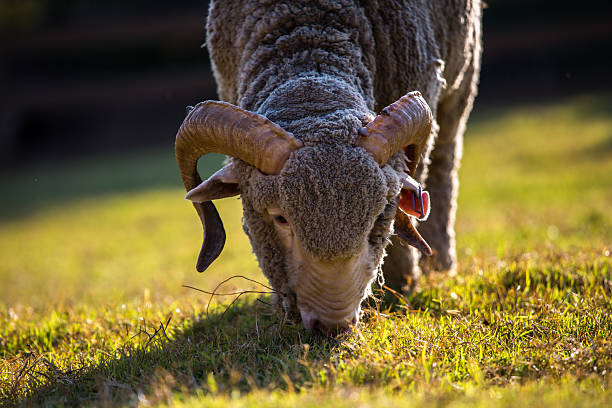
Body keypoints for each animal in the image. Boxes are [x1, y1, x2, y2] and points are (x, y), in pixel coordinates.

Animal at [176, 0, 482, 332]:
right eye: (280, 218)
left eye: (378, 218)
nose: (333, 325)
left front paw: (401, 285)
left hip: (459, 87)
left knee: (443, 166)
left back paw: (440, 264)